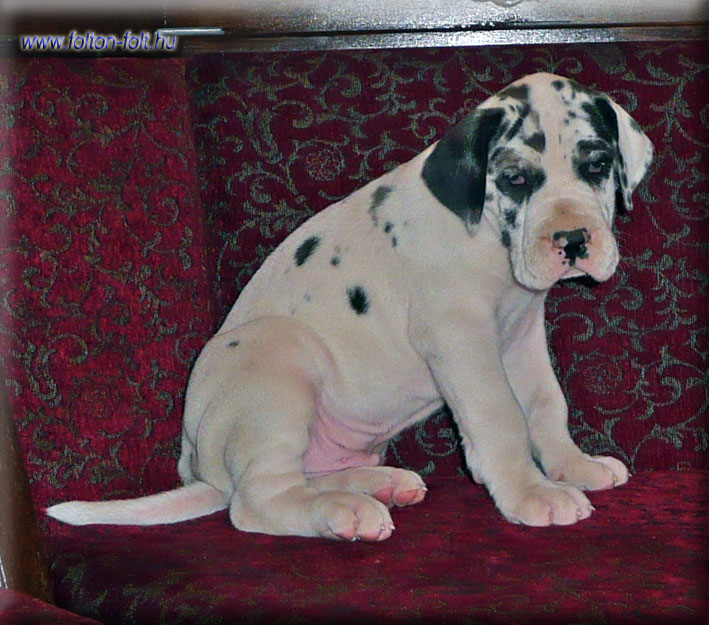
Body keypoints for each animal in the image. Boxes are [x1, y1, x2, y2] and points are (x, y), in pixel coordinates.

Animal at [48, 73, 653, 541]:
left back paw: (375, 486)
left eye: (597, 165)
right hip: (278, 365)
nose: (572, 240)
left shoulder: (521, 336)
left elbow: (546, 405)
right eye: (514, 178)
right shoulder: (463, 341)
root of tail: (198, 465)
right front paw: (530, 492)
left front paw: (571, 466)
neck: (486, 238)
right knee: (257, 502)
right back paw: (341, 512)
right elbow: (501, 415)